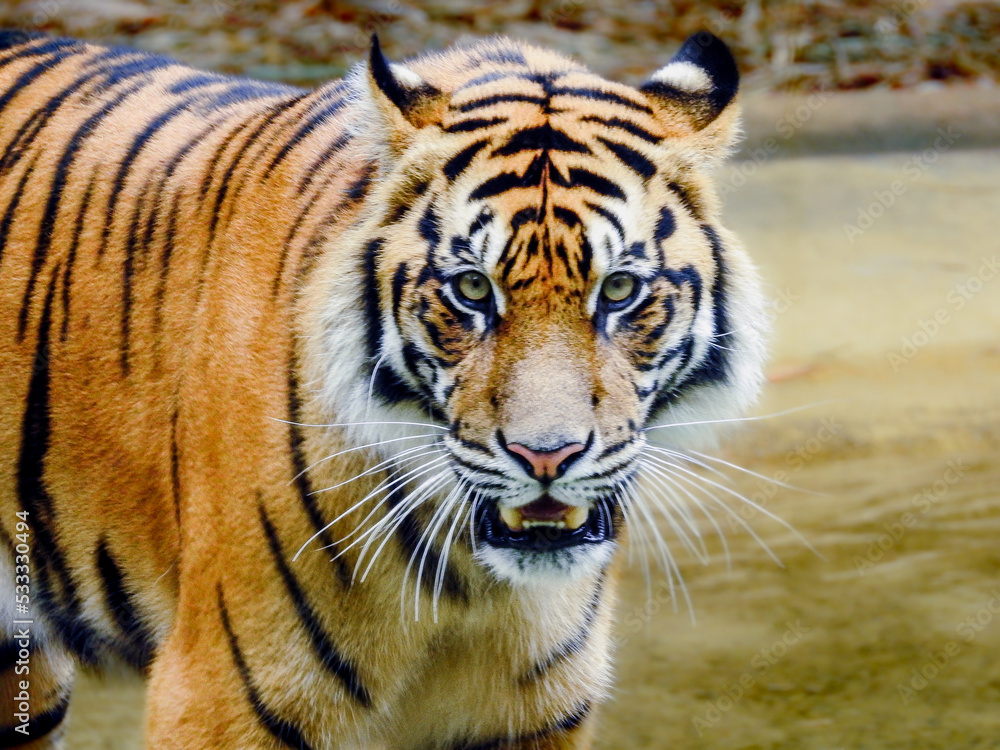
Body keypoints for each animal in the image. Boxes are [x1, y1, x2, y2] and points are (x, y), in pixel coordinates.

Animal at [0, 26, 768, 750]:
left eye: (617, 291)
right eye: (471, 289)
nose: (546, 457)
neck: (471, 585)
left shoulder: (532, 713)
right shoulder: (222, 695)